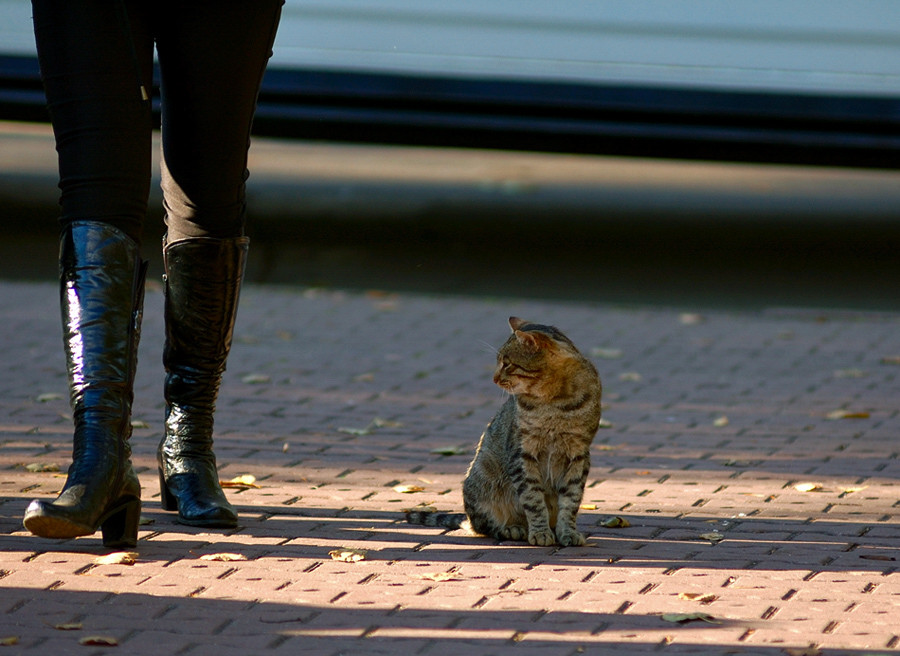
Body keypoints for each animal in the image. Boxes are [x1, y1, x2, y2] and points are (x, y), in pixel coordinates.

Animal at [410, 316, 604, 544]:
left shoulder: (579, 453)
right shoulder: (521, 452)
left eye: (507, 363)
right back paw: (512, 528)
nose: (493, 378)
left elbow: (571, 500)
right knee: (483, 527)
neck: (554, 401)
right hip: (482, 479)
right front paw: (540, 532)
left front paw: (568, 532)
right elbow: (533, 498)